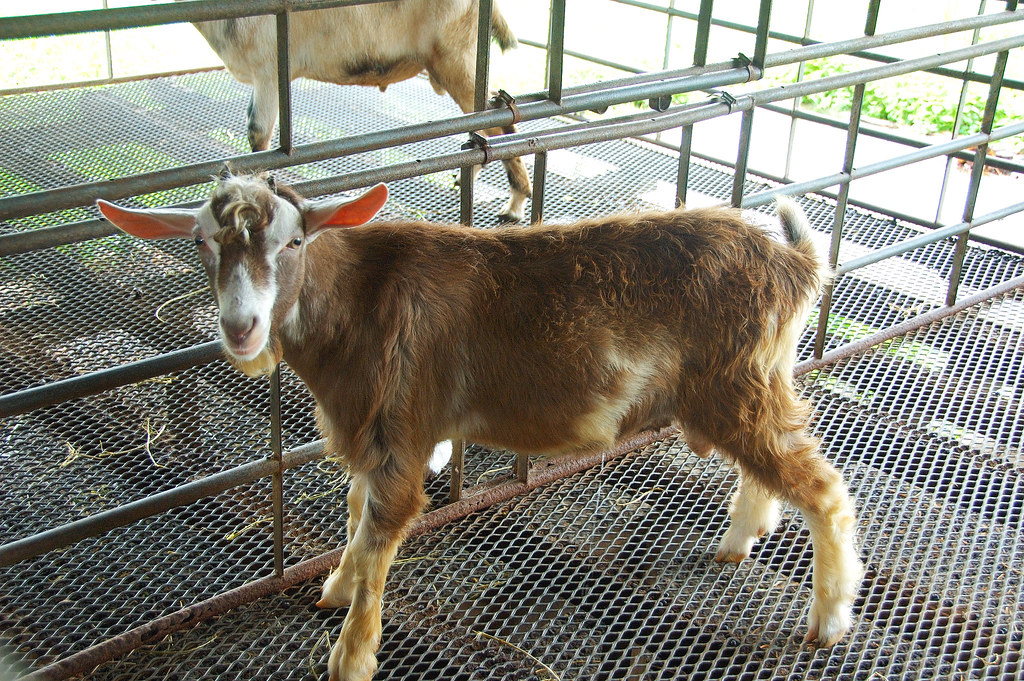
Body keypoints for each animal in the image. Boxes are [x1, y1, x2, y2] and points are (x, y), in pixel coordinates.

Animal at [97, 175, 863, 681]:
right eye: (203, 242)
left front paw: (351, 654)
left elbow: (380, 531)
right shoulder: (373, 435)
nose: (241, 326)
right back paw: (741, 538)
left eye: (292, 242)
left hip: (741, 389)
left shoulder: (401, 428)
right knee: (770, 472)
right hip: (748, 387)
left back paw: (829, 620)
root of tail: (796, 262)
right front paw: (337, 585)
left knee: (826, 491)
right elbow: (354, 513)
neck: (357, 302)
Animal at [181, 0, 531, 221]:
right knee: (490, 115)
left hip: (455, 57)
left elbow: (258, 137)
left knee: (497, 117)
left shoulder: (268, 70)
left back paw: (515, 203)